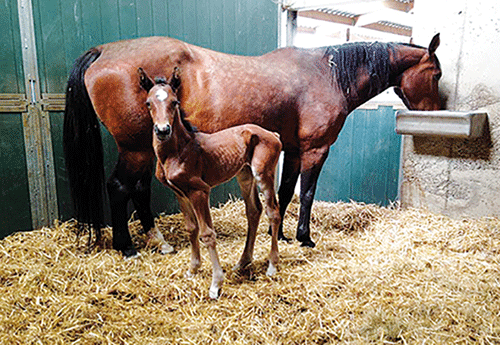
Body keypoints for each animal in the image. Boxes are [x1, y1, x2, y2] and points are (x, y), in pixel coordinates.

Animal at [141, 68, 282, 298]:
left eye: (175, 102)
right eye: (148, 103)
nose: (162, 130)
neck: (176, 152)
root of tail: (273, 133)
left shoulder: (199, 191)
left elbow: (207, 233)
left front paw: (216, 284)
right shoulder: (180, 193)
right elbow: (191, 228)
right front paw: (193, 269)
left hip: (263, 173)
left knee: (273, 213)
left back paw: (271, 266)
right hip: (244, 175)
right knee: (254, 211)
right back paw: (243, 262)